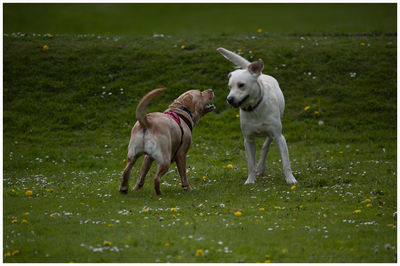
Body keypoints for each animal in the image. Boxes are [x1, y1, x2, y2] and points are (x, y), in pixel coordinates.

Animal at [216, 47, 296, 185]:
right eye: (229, 87)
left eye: (241, 85)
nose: (229, 99)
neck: (254, 110)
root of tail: (261, 74)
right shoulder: (248, 140)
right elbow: (250, 164)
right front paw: (250, 180)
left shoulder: (279, 137)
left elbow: (286, 162)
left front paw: (290, 179)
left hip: (275, 127)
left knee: (266, 145)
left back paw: (261, 166)